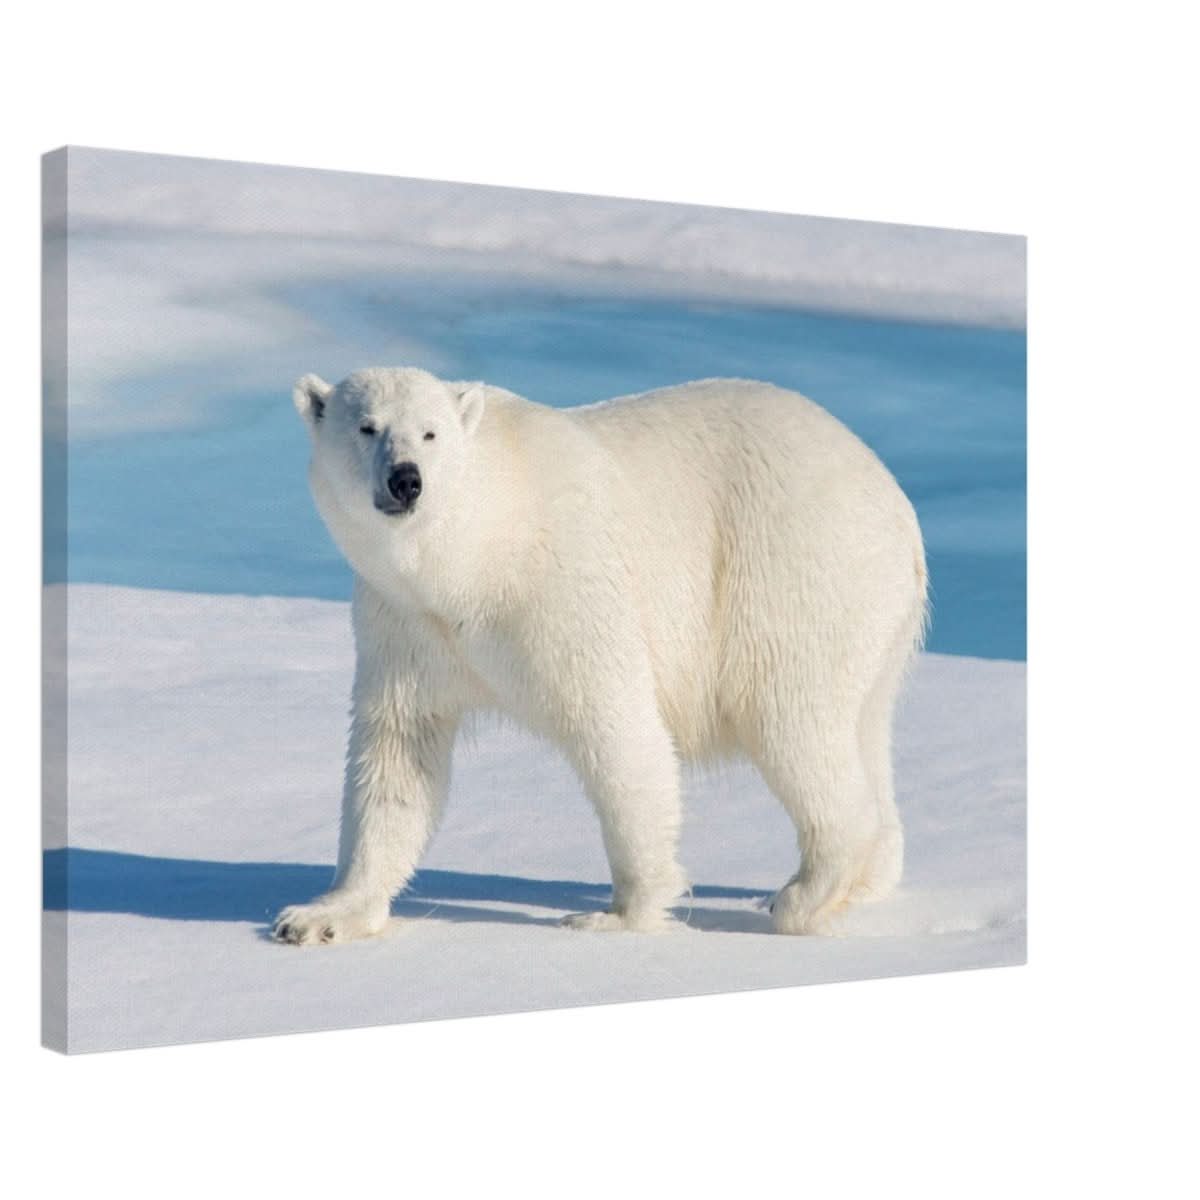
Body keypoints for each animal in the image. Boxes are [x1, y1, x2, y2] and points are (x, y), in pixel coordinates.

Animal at [273, 366, 928, 944]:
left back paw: (802, 894)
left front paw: (619, 915)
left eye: (430, 432)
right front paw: (319, 917)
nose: (406, 479)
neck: (476, 553)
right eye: (367, 426)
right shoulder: (406, 623)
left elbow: (617, 729)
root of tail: (896, 501)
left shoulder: (561, 584)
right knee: (863, 728)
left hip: (792, 567)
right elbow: (397, 754)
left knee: (790, 719)